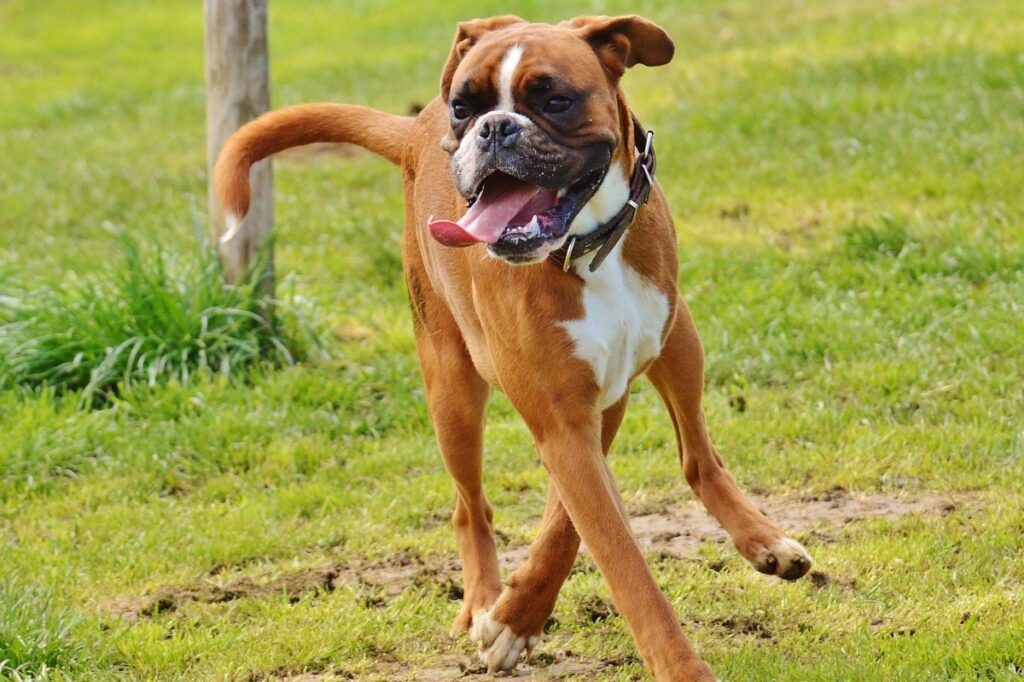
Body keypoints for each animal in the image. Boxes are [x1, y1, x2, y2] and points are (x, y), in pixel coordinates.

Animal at [214, 13, 806, 675]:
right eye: (464, 107)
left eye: (554, 100)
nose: (494, 128)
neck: (585, 248)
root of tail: (414, 129)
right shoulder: (565, 421)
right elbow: (621, 561)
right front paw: (669, 665)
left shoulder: (604, 397)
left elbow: (570, 524)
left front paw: (521, 615)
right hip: (452, 395)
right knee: (469, 505)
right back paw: (481, 600)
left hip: (681, 343)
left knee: (698, 454)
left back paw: (763, 539)